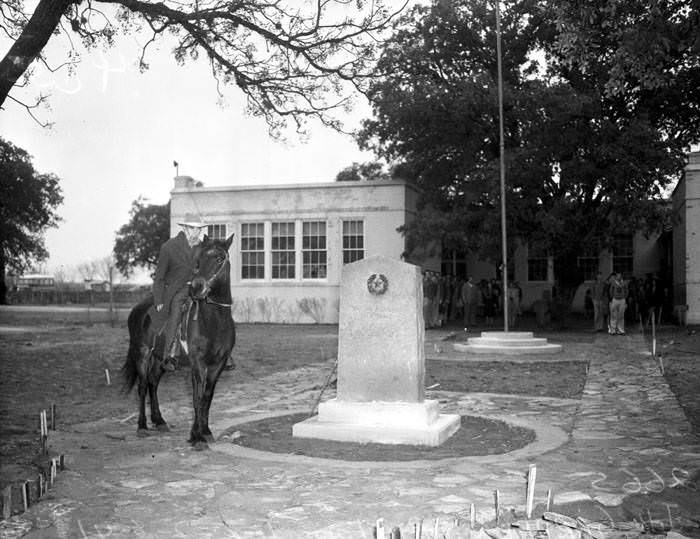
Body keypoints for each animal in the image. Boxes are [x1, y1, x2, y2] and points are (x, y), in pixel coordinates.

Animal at [121, 234, 237, 450]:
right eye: (198, 260)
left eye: (219, 259)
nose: (197, 287)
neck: (214, 321)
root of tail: (139, 309)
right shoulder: (197, 363)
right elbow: (197, 396)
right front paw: (196, 437)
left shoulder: (218, 364)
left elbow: (207, 396)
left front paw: (206, 432)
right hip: (142, 354)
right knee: (143, 386)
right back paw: (142, 426)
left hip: (160, 360)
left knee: (153, 384)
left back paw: (159, 421)